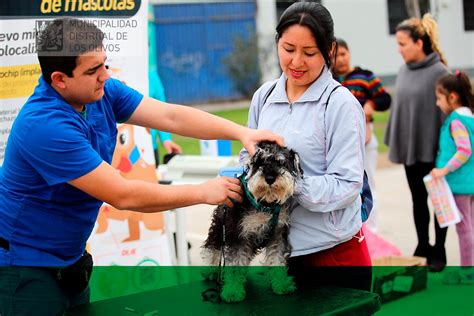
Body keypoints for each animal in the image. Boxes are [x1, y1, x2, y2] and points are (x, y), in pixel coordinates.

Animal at [200, 142, 304, 302]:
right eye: (259, 162)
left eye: (281, 163)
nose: (270, 178)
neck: (265, 204)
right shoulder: (238, 236)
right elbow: (235, 263)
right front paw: (233, 290)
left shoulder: (278, 235)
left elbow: (277, 259)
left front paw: (281, 284)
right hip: (219, 230)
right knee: (212, 248)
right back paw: (209, 270)